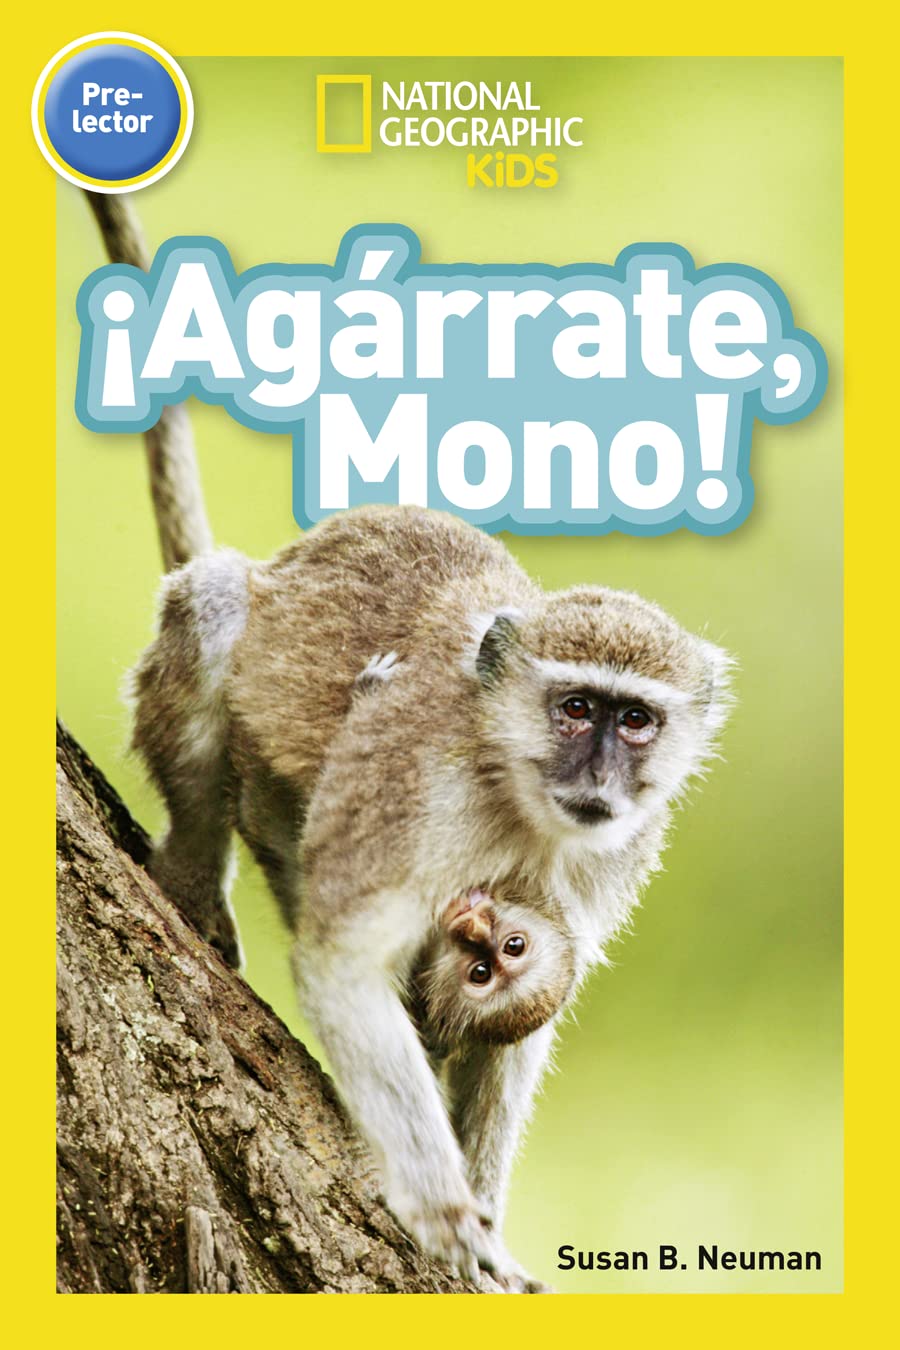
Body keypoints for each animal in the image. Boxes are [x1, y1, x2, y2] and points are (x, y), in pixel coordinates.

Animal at [89, 194, 733, 1294]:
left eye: (637, 719)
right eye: (577, 709)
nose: (600, 773)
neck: (519, 801)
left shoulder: (608, 862)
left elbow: (526, 1024)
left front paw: (489, 1233)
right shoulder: (412, 787)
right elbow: (347, 959)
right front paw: (441, 1206)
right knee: (215, 607)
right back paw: (194, 873)